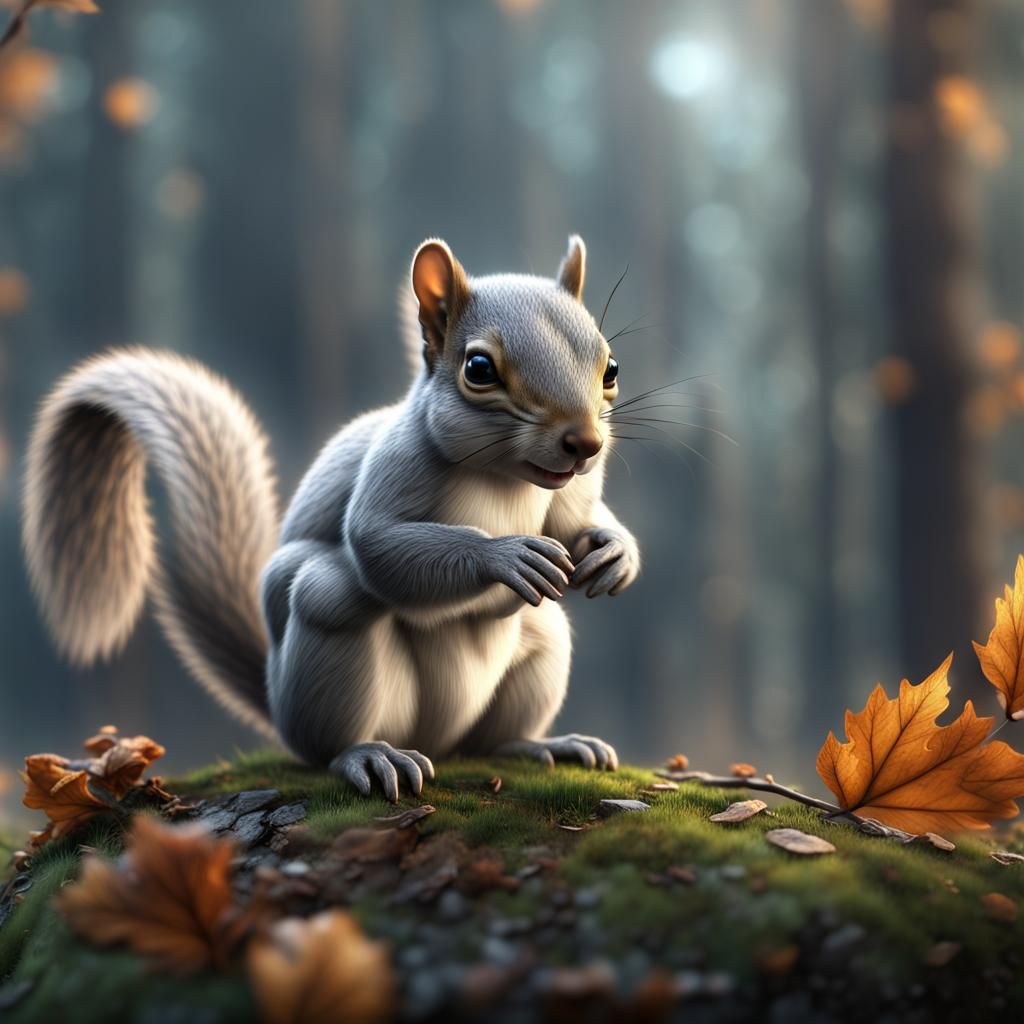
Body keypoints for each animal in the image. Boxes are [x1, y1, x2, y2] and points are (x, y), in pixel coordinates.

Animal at [22, 235, 640, 800]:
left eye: (610, 366)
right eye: (480, 368)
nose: (585, 443)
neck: (507, 478)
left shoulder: (572, 491)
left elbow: (574, 526)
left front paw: (615, 550)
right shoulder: (395, 466)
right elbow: (379, 544)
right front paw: (505, 554)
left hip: (540, 646)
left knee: (490, 738)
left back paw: (546, 743)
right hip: (324, 637)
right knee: (327, 709)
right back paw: (368, 755)